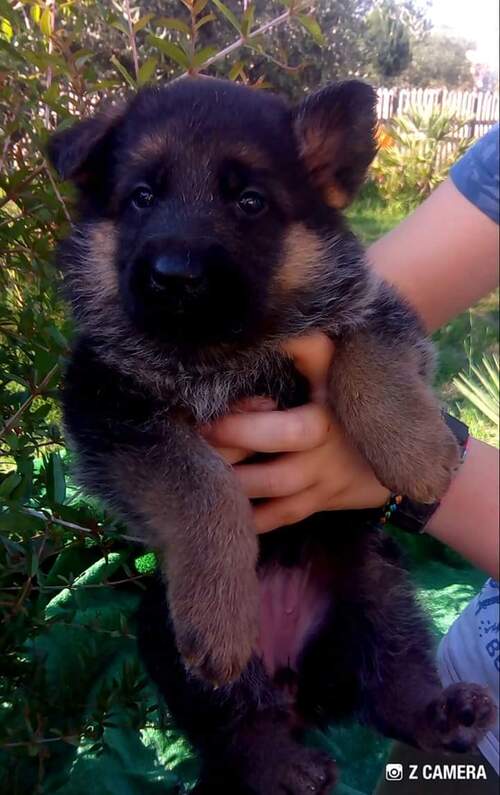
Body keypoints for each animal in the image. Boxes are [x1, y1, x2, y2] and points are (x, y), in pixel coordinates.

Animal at [48, 76, 494, 795]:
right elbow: (203, 486)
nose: (173, 276)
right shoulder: (108, 407)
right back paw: (282, 763)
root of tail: (295, 690)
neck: (225, 348)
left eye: (250, 202)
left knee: (391, 685)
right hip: (164, 635)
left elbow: (366, 355)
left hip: (379, 583)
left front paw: (418, 452)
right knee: (238, 731)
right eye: (142, 197)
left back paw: (443, 714)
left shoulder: (374, 307)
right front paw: (222, 607)